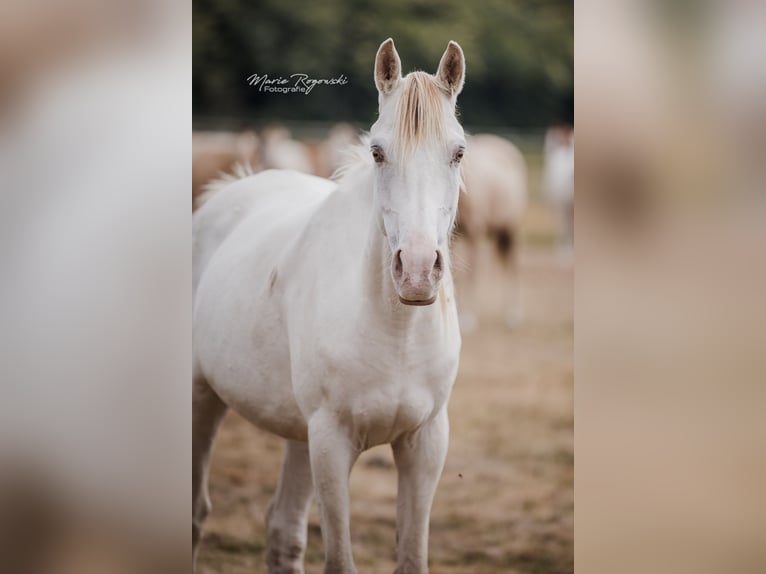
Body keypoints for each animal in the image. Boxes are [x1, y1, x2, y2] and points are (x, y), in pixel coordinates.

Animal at [192, 38, 466, 574]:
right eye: (377, 152)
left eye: (459, 152)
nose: (417, 270)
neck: (395, 331)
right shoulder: (332, 443)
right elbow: (339, 559)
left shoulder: (425, 443)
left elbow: (411, 558)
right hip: (203, 399)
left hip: (299, 437)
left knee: (283, 532)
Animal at [454, 133, 528, 330]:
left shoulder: (473, 233)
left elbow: (470, 274)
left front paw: (467, 318)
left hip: (512, 232)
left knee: (513, 267)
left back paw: (513, 315)